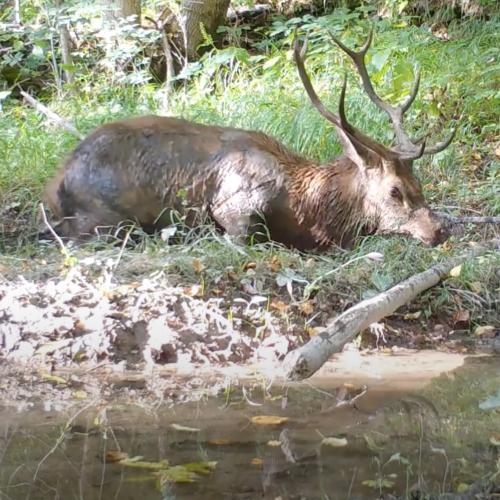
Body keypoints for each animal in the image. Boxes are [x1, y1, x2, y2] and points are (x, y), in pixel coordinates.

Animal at [45, 28, 456, 250]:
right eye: (394, 191)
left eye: (419, 183)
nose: (440, 229)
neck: (308, 210)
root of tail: (56, 182)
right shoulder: (233, 206)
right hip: (104, 220)